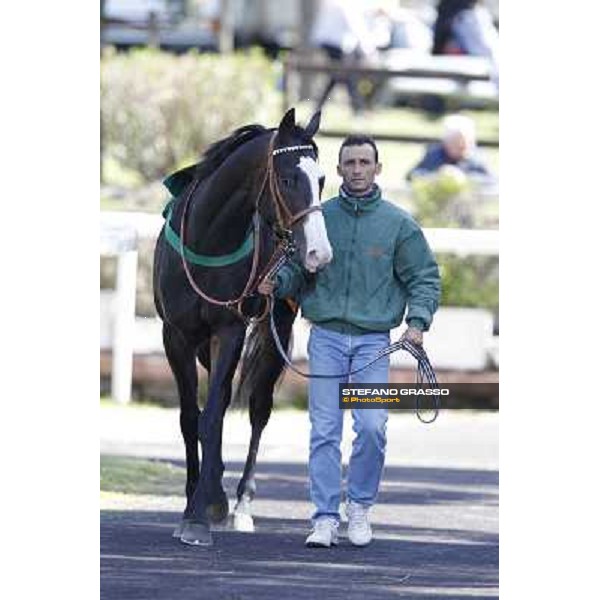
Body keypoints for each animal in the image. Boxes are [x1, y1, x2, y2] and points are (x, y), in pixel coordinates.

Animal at [151, 105, 332, 548]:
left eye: (322, 180)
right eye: (287, 179)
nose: (318, 254)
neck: (208, 239)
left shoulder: (230, 329)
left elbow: (214, 412)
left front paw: (202, 512)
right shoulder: (175, 335)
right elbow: (190, 417)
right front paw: (193, 503)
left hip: (276, 326)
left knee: (257, 408)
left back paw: (241, 504)